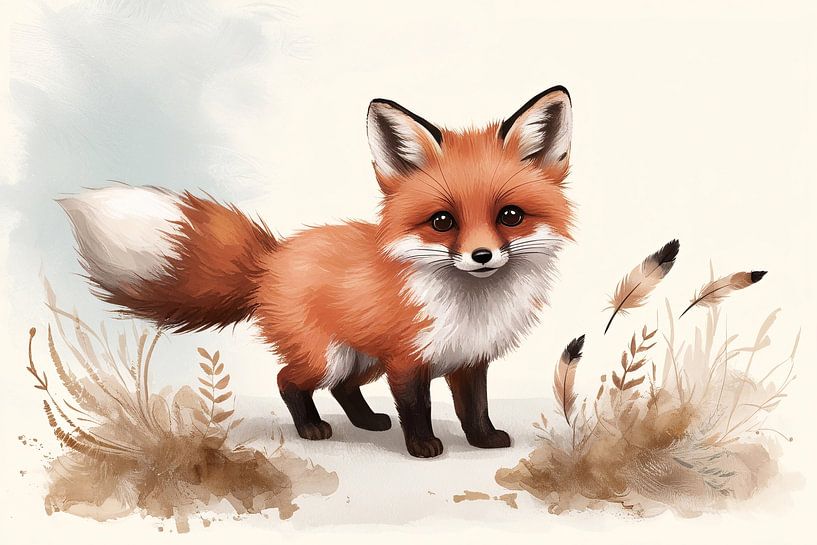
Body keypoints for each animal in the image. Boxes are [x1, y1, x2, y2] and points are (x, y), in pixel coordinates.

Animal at [58, 86, 574, 458]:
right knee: (287, 380)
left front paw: (484, 440)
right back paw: (310, 428)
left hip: (361, 359)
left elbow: (475, 407)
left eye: (510, 216)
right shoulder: (406, 360)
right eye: (443, 221)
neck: (470, 306)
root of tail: (272, 259)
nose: (481, 256)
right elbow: (417, 406)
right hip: (328, 356)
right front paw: (423, 446)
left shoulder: (468, 358)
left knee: (343, 388)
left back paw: (367, 422)